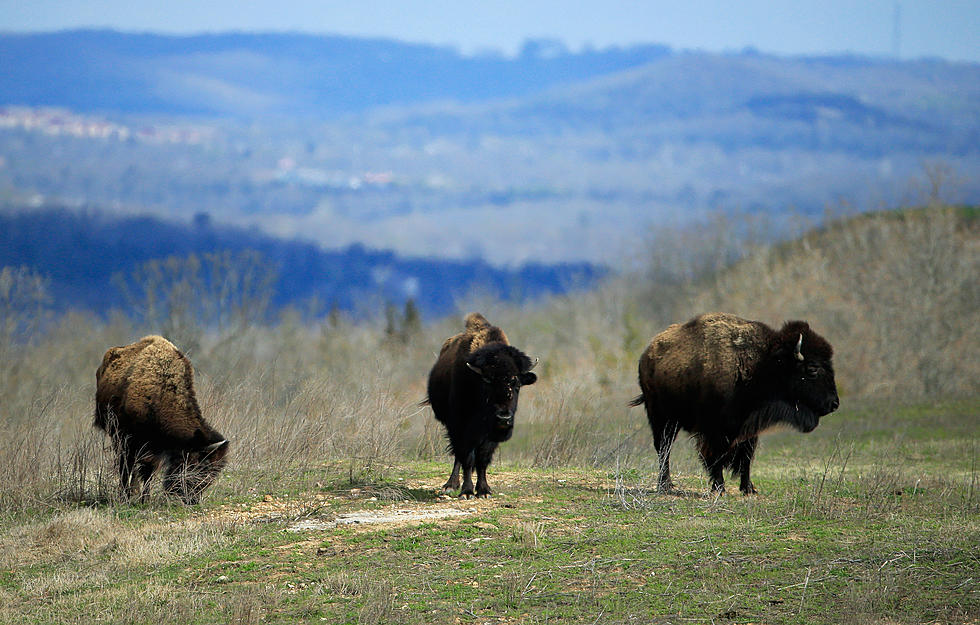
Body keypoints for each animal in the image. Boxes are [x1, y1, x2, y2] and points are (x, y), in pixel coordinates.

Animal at [94, 336, 228, 502]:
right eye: (200, 466)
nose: (192, 500)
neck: (160, 394)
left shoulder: (154, 447)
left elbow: (148, 471)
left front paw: (144, 497)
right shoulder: (133, 440)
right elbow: (138, 468)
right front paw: (139, 498)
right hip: (116, 435)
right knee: (125, 466)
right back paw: (127, 493)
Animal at [424, 312, 540, 498]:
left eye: (516, 384)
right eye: (488, 382)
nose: (503, 417)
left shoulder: (489, 435)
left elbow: (483, 459)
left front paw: (484, 490)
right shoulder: (461, 426)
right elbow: (468, 457)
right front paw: (467, 491)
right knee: (458, 455)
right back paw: (451, 484)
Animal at [632, 312, 840, 492]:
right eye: (812, 369)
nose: (834, 404)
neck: (763, 364)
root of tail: (646, 355)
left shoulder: (748, 428)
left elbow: (746, 457)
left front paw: (748, 488)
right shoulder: (714, 430)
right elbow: (715, 457)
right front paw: (719, 487)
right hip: (661, 417)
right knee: (663, 448)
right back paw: (665, 485)